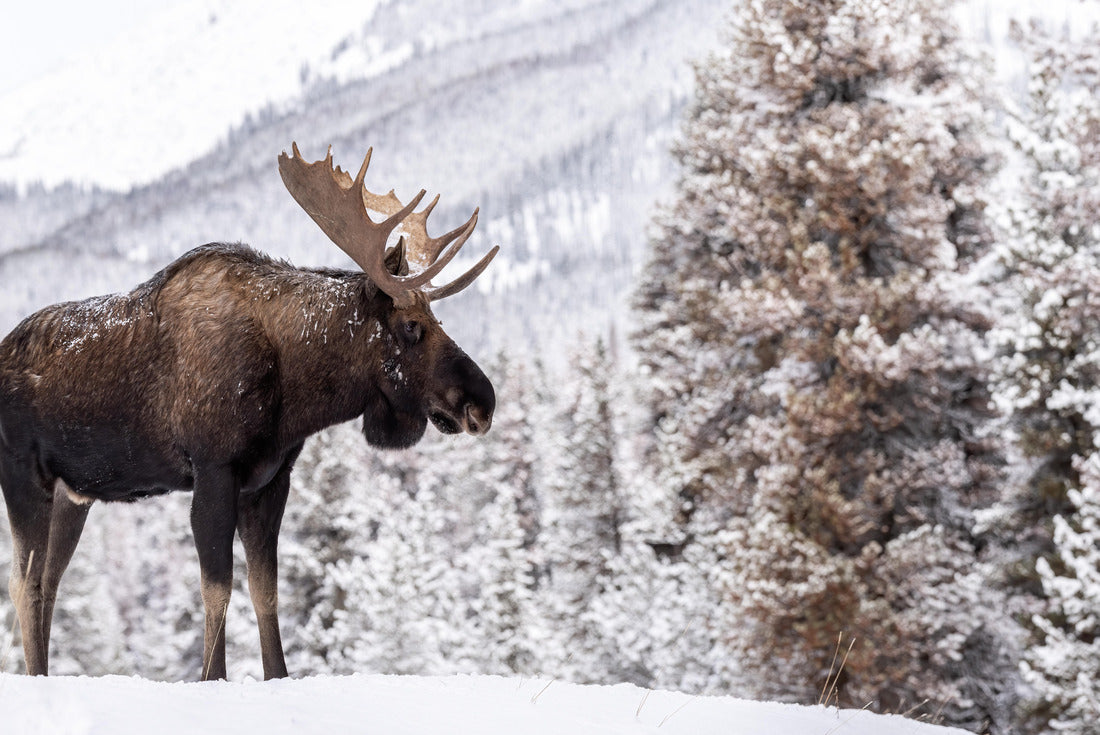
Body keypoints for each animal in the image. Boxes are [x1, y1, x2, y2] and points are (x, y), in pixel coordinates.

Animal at [0, 143, 498, 680]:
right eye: (411, 326)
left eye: (435, 318)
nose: (483, 401)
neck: (294, 389)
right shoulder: (215, 470)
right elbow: (217, 590)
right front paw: (212, 677)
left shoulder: (269, 480)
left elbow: (267, 592)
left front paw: (277, 675)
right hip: (24, 476)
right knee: (24, 584)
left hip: (74, 494)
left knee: (49, 584)